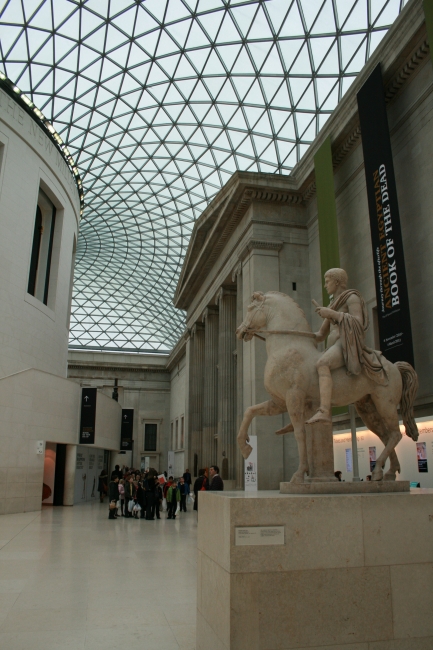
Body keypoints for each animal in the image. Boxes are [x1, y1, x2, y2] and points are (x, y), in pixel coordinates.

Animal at [235, 290, 416, 480]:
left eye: (250, 308)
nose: (239, 331)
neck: (288, 346)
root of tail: (394, 366)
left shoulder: (293, 397)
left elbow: (300, 433)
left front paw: (299, 473)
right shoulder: (279, 402)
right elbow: (249, 411)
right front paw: (245, 448)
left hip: (385, 404)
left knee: (395, 434)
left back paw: (379, 469)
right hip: (368, 407)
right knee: (385, 435)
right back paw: (386, 472)